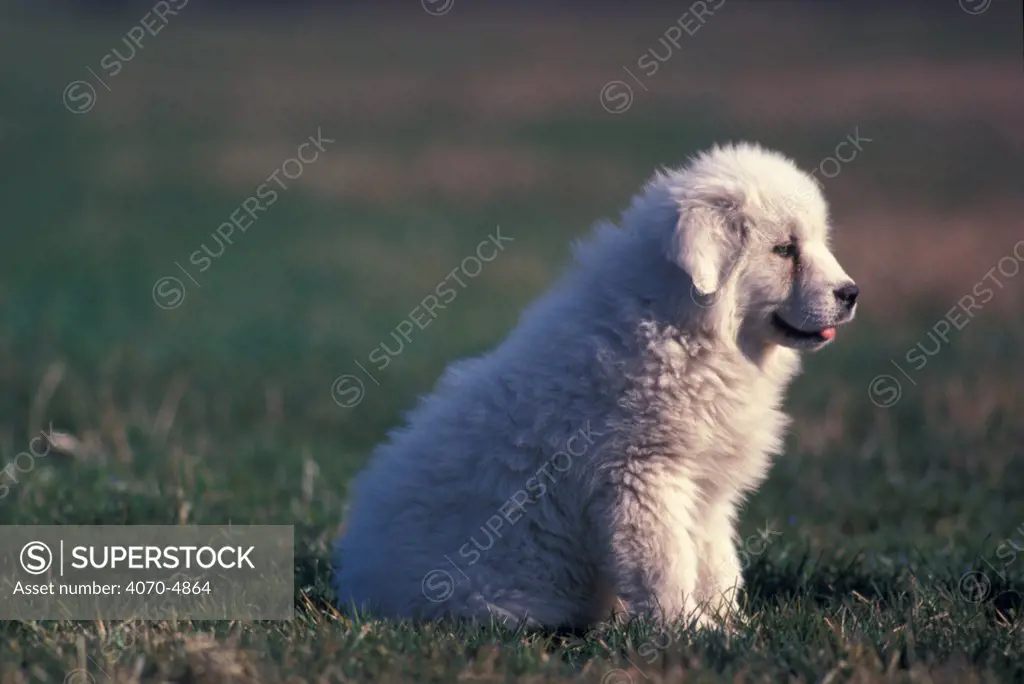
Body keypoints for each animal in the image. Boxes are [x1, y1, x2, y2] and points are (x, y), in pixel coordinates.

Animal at [333, 143, 856, 630]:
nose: (851, 293)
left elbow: (717, 562)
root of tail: (358, 586)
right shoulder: (641, 476)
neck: (683, 329)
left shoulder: (707, 490)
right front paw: (692, 629)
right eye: (784, 250)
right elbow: (667, 564)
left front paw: (733, 624)